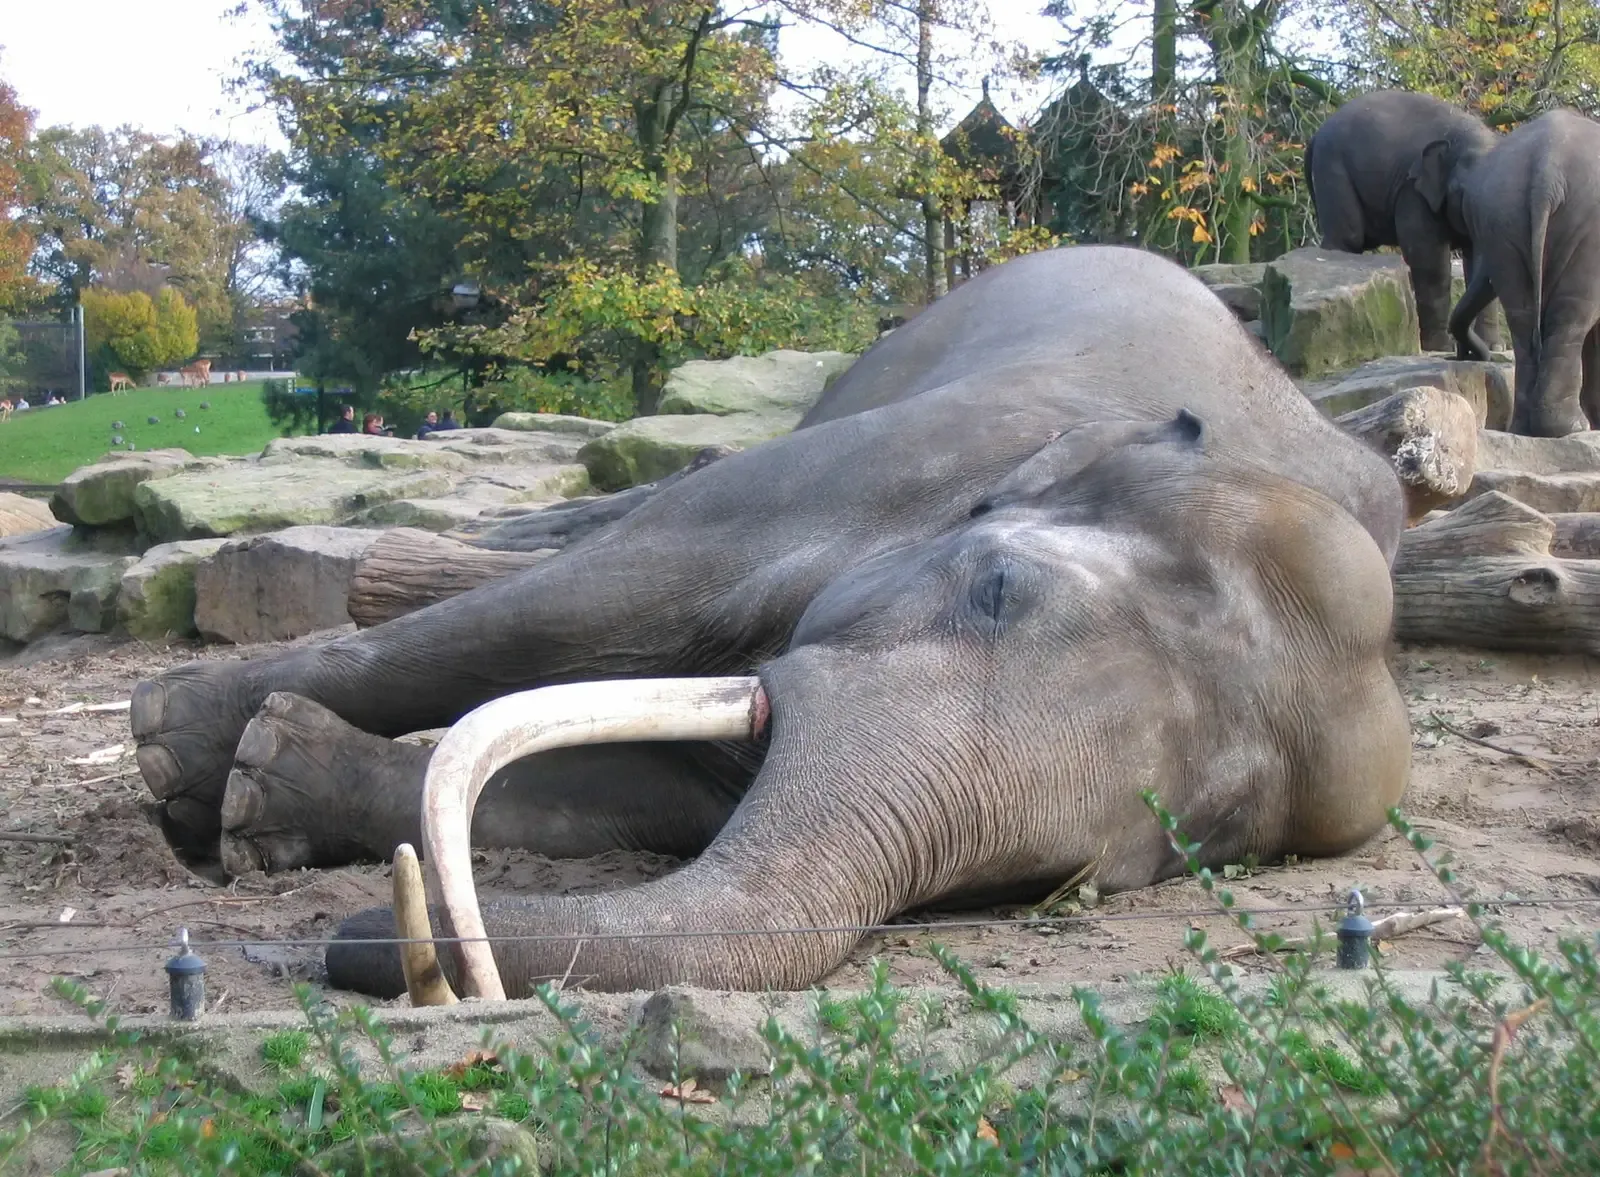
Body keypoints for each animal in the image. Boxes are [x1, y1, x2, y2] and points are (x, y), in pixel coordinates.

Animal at [127, 245, 1411, 999]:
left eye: (1071, 880)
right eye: (996, 587)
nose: (369, 942)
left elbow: (639, 795)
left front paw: (263, 786)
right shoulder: (896, 464)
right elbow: (575, 618)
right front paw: (181, 749)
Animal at [1306, 90, 1499, 352]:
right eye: (1459, 192)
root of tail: (1316, 135)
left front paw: (1494, 348)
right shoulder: (1413, 190)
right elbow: (1429, 261)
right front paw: (1439, 349)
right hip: (1332, 165)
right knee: (1348, 238)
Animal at [1448, 109, 1600, 436]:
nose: (1463, 354)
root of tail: (1547, 169)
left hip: (1502, 220)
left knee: (1522, 317)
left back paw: (1524, 428)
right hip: (1587, 235)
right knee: (1571, 318)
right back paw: (1569, 428)